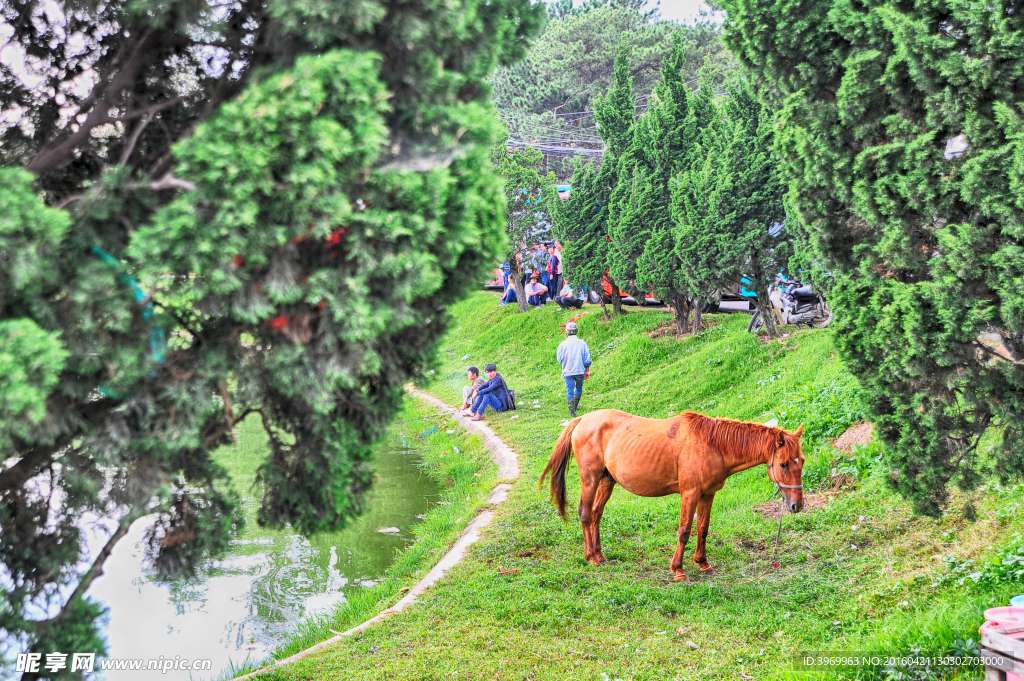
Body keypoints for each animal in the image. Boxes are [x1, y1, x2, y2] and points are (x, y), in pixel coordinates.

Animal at [540, 409, 802, 577]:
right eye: (783, 464)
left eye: (802, 461)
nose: (796, 505)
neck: (712, 445)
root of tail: (583, 419)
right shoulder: (690, 493)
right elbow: (685, 530)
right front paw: (678, 569)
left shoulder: (708, 495)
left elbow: (702, 528)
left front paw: (703, 563)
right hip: (591, 479)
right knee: (585, 513)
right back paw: (591, 557)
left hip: (607, 481)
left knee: (596, 514)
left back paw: (600, 555)